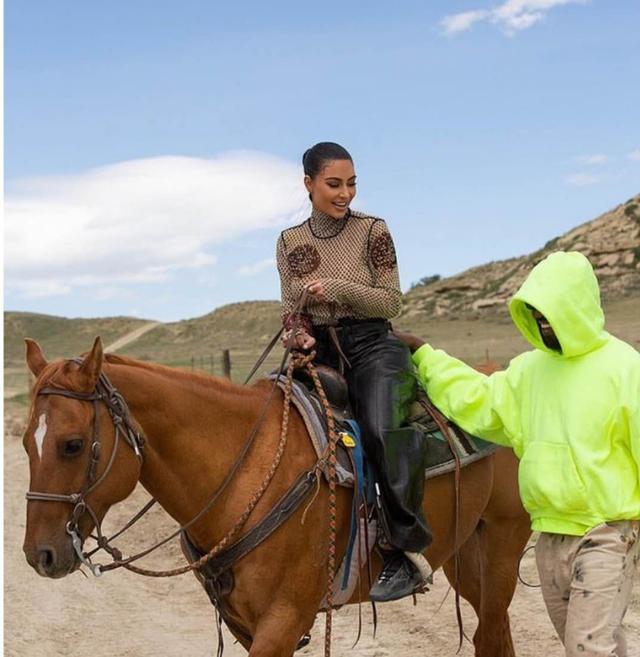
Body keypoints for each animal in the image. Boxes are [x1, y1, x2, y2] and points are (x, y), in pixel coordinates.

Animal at [21, 338, 528, 656]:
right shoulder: (244, 623)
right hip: (462, 552)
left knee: (490, 636)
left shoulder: (284, 620)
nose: (38, 555)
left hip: (503, 542)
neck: (242, 471)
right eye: (26, 442)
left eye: (72, 444)